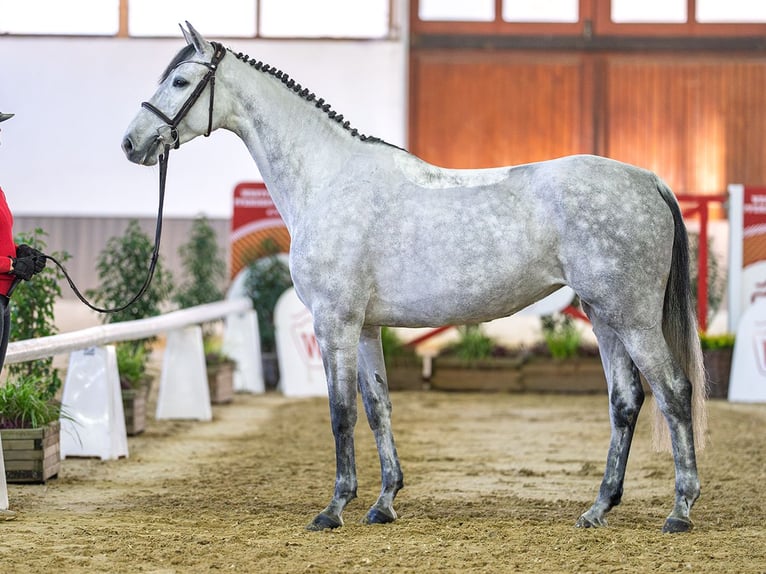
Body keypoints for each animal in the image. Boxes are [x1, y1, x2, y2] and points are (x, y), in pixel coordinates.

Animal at [122, 23, 707, 533]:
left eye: (179, 81)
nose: (132, 143)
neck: (327, 179)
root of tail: (647, 179)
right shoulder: (363, 328)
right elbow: (378, 406)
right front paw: (383, 502)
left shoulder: (334, 323)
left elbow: (340, 412)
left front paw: (333, 509)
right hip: (603, 317)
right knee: (625, 401)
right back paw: (598, 509)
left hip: (633, 319)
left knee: (674, 391)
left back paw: (679, 510)